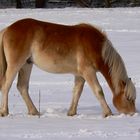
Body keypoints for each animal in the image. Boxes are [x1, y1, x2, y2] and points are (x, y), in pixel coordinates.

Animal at [0, 18, 136, 117]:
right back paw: (4, 112)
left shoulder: (80, 75)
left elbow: (77, 92)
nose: (133, 113)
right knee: (6, 86)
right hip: (15, 64)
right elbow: (98, 91)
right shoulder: (88, 72)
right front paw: (108, 113)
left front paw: (71, 113)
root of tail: (7, 29)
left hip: (26, 65)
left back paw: (34, 112)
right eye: (128, 98)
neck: (95, 46)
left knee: (22, 87)